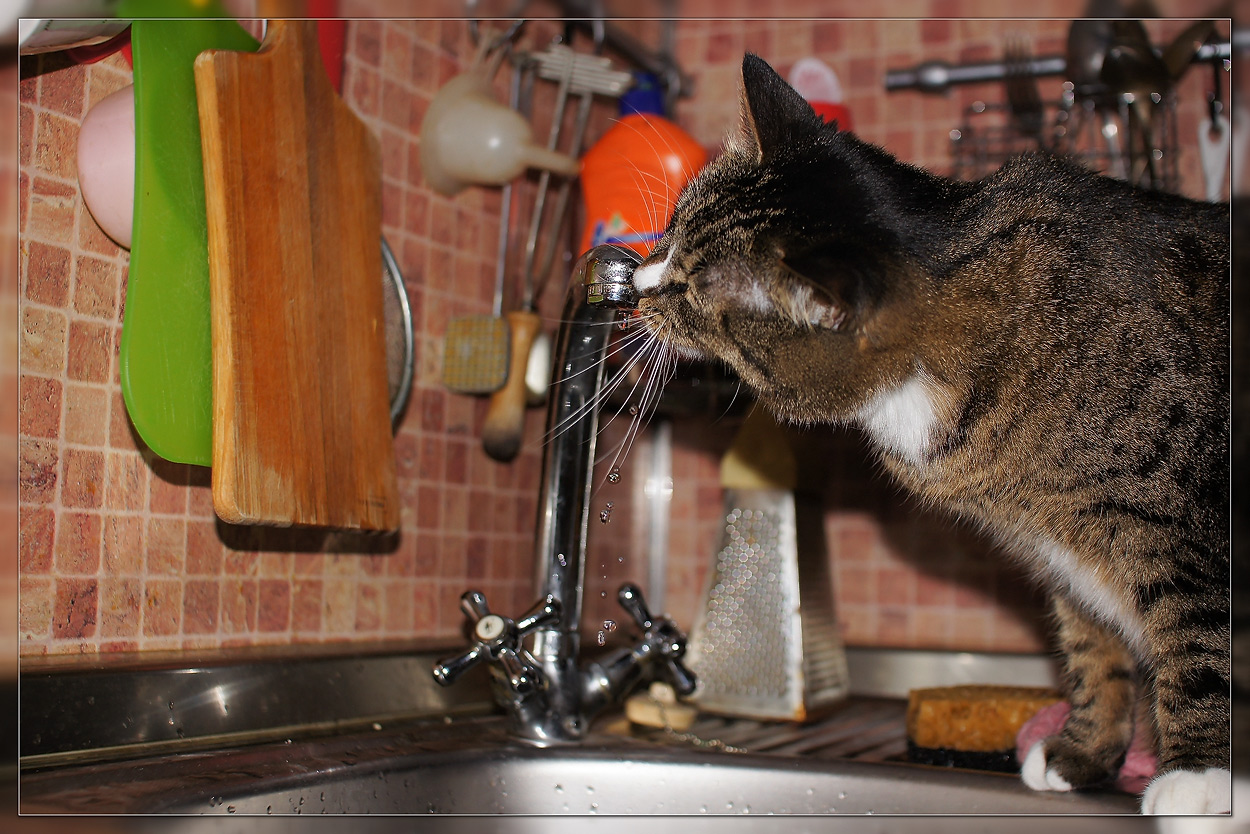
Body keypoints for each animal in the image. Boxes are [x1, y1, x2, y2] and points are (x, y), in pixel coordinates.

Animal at [635, 53, 1230, 815]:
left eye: (688, 288)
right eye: (672, 227)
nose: (638, 282)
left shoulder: (1179, 529)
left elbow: (1194, 637)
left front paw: (1197, 775)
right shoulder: (1069, 560)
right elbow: (1096, 653)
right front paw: (1083, 754)